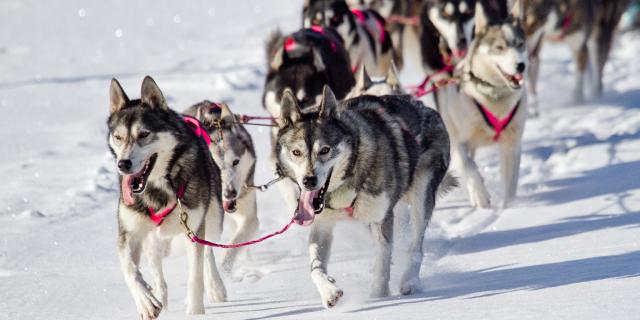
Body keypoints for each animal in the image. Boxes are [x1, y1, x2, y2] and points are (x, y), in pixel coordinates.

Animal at [109, 76, 228, 318]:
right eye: (118, 137)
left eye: (144, 134)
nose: (123, 164)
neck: (156, 189)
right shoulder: (129, 233)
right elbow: (129, 268)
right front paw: (146, 301)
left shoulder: (194, 229)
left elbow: (196, 274)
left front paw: (195, 310)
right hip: (152, 239)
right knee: (156, 269)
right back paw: (159, 297)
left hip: (212, 218)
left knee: (208, 253)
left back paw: (215, 287)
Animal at [181, 101, 258, 274]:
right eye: (212, 164)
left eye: (235, 162)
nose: (230, 193)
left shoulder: (249, 217)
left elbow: (234, 245)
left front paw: (225, 269)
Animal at [274, 85, 450, 308]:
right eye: (296, 152)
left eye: (325, 150)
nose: (309, 181)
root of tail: (426, 108)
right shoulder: (322, 225)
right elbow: (315, 266)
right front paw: (329, 292)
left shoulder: (381, 218)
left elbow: (383, 263)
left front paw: (378, 297)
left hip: (421, 196)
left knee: (416, 246)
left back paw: (410, 280)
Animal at [438, 0, 528, 209]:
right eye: (500, 47)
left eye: (520, 45)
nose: (521, 65)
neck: (494, 97)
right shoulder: (459, 142)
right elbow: (468, 166)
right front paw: (480, 194)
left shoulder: (512, 144)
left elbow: (510, 184)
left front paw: (508, 209)